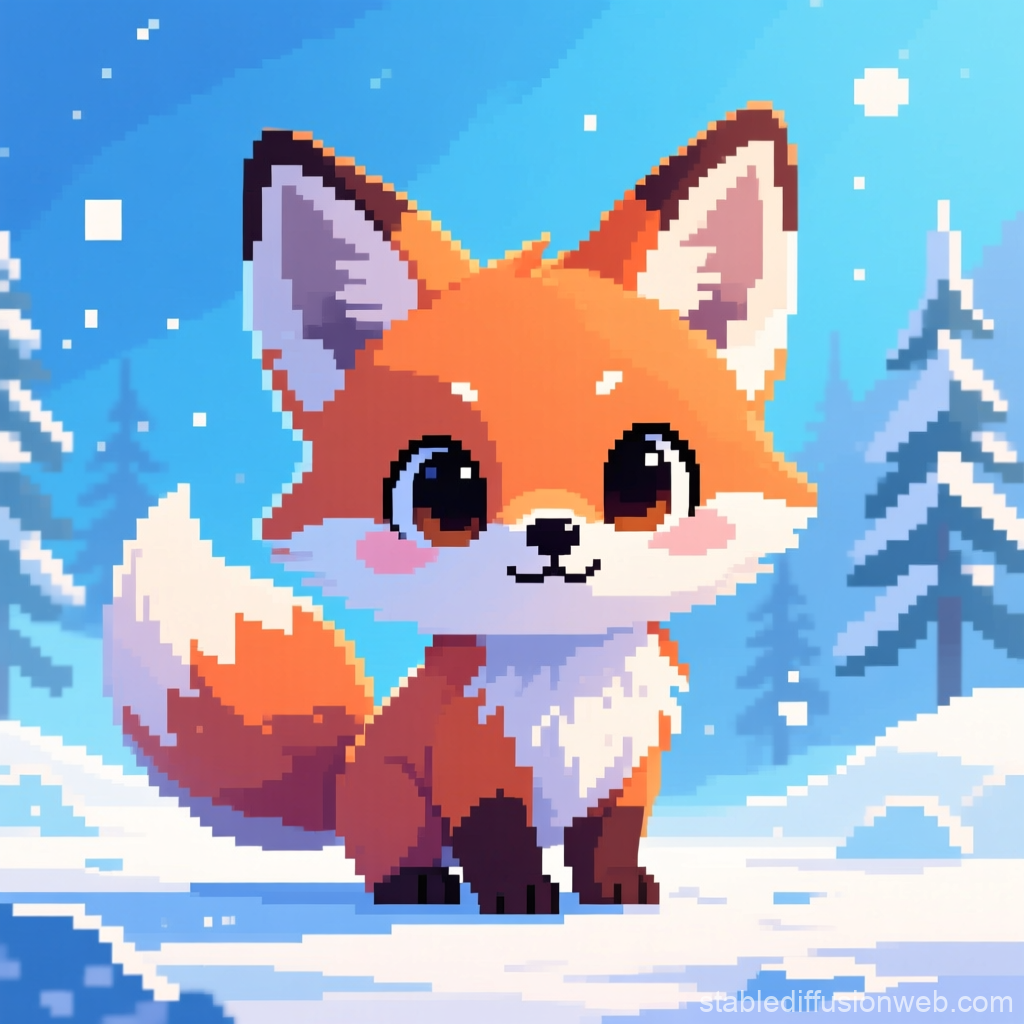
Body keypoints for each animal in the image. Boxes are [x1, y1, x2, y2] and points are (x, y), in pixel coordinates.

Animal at [106, 102, 814, 914]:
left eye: (646, 475)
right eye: (440, 487)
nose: (553, 532)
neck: (564, 677)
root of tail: (345, 768)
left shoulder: (632, 769)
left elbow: (611, 836)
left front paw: (615, 889)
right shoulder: (471, 769)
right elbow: (495, 840)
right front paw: (518, 898)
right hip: (390, 794)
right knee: (391, 852)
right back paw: (415, 884)